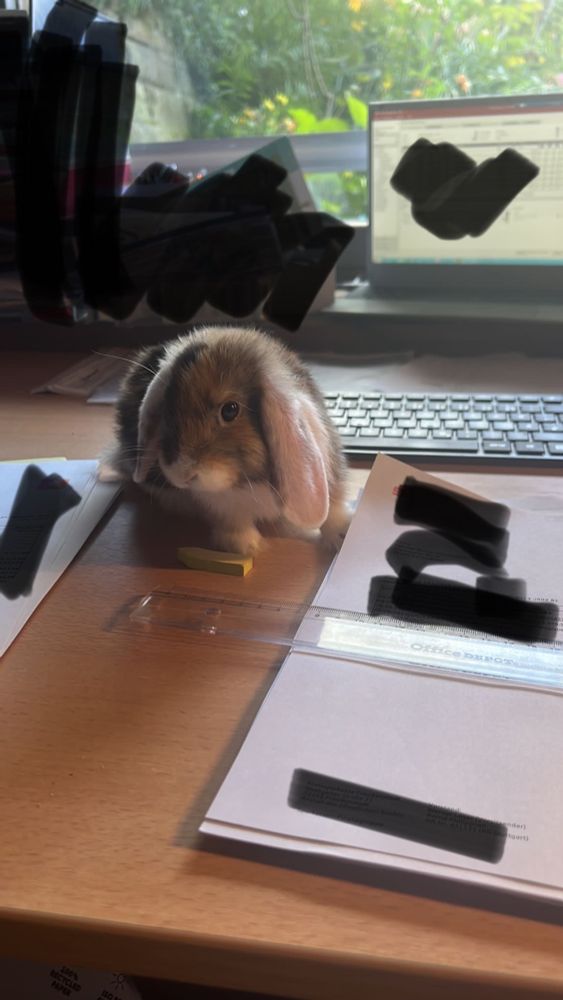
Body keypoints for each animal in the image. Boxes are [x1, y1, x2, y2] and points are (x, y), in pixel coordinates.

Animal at [105, 325, 351, 555]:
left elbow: (334, 509)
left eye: (230, 410)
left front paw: (341, 535)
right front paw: (246, 546)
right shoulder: (223, 507)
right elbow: (235, 520)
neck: (250, 479)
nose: (181, 474)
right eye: (167, 406)